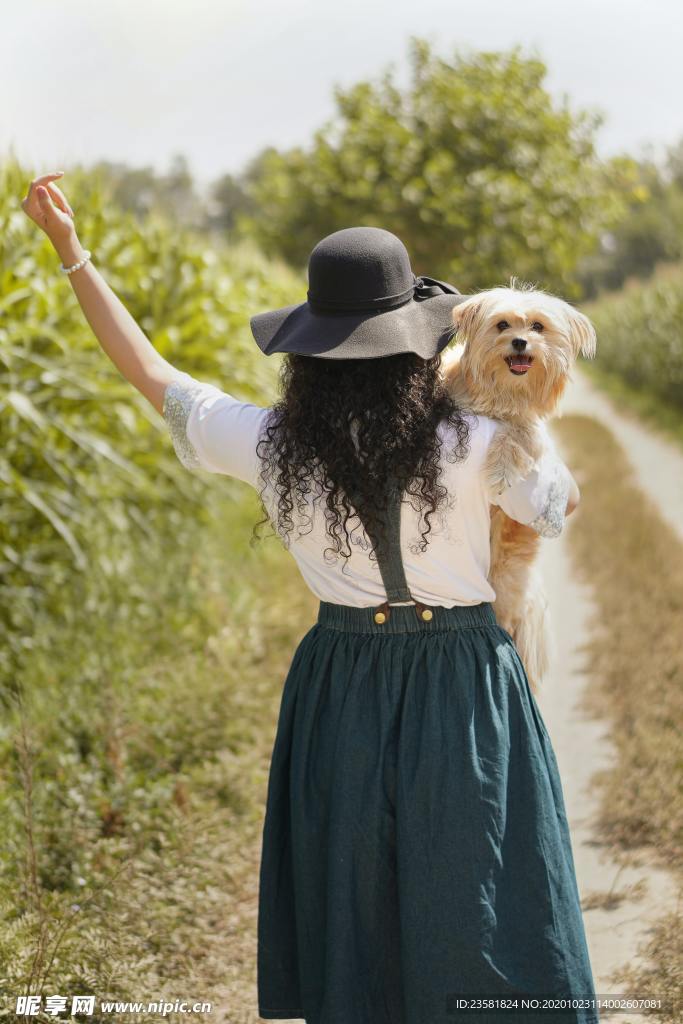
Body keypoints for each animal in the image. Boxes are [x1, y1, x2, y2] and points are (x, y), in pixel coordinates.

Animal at [440, 284, 593, 692]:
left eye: (537, 326)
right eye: (502, 325)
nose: (521, 342)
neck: (502, 395)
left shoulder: (531, 430)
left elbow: (517, 433)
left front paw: (500, 469)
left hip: (507, 578)